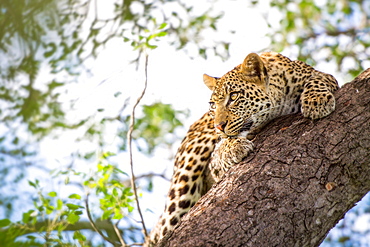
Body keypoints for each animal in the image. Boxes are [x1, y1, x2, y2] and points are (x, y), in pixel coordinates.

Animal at [144, 51, 338, 245]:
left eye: (234, 96)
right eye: (213, 105)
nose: (218, 126)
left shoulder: (322, 75)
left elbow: (317, 79)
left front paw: (316, 101)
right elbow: (220, 151)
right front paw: (234, 147)